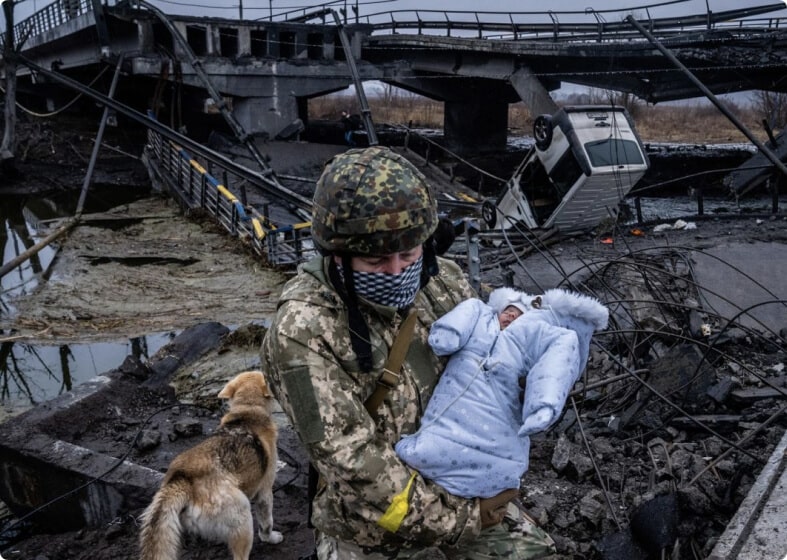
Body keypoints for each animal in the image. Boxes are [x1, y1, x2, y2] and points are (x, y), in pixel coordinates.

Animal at [140, 370, 284, 556]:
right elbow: (266, 524)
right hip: (242, 514)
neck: (248, 409)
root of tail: (183, 480)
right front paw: (271, 538)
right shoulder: (265, 491)